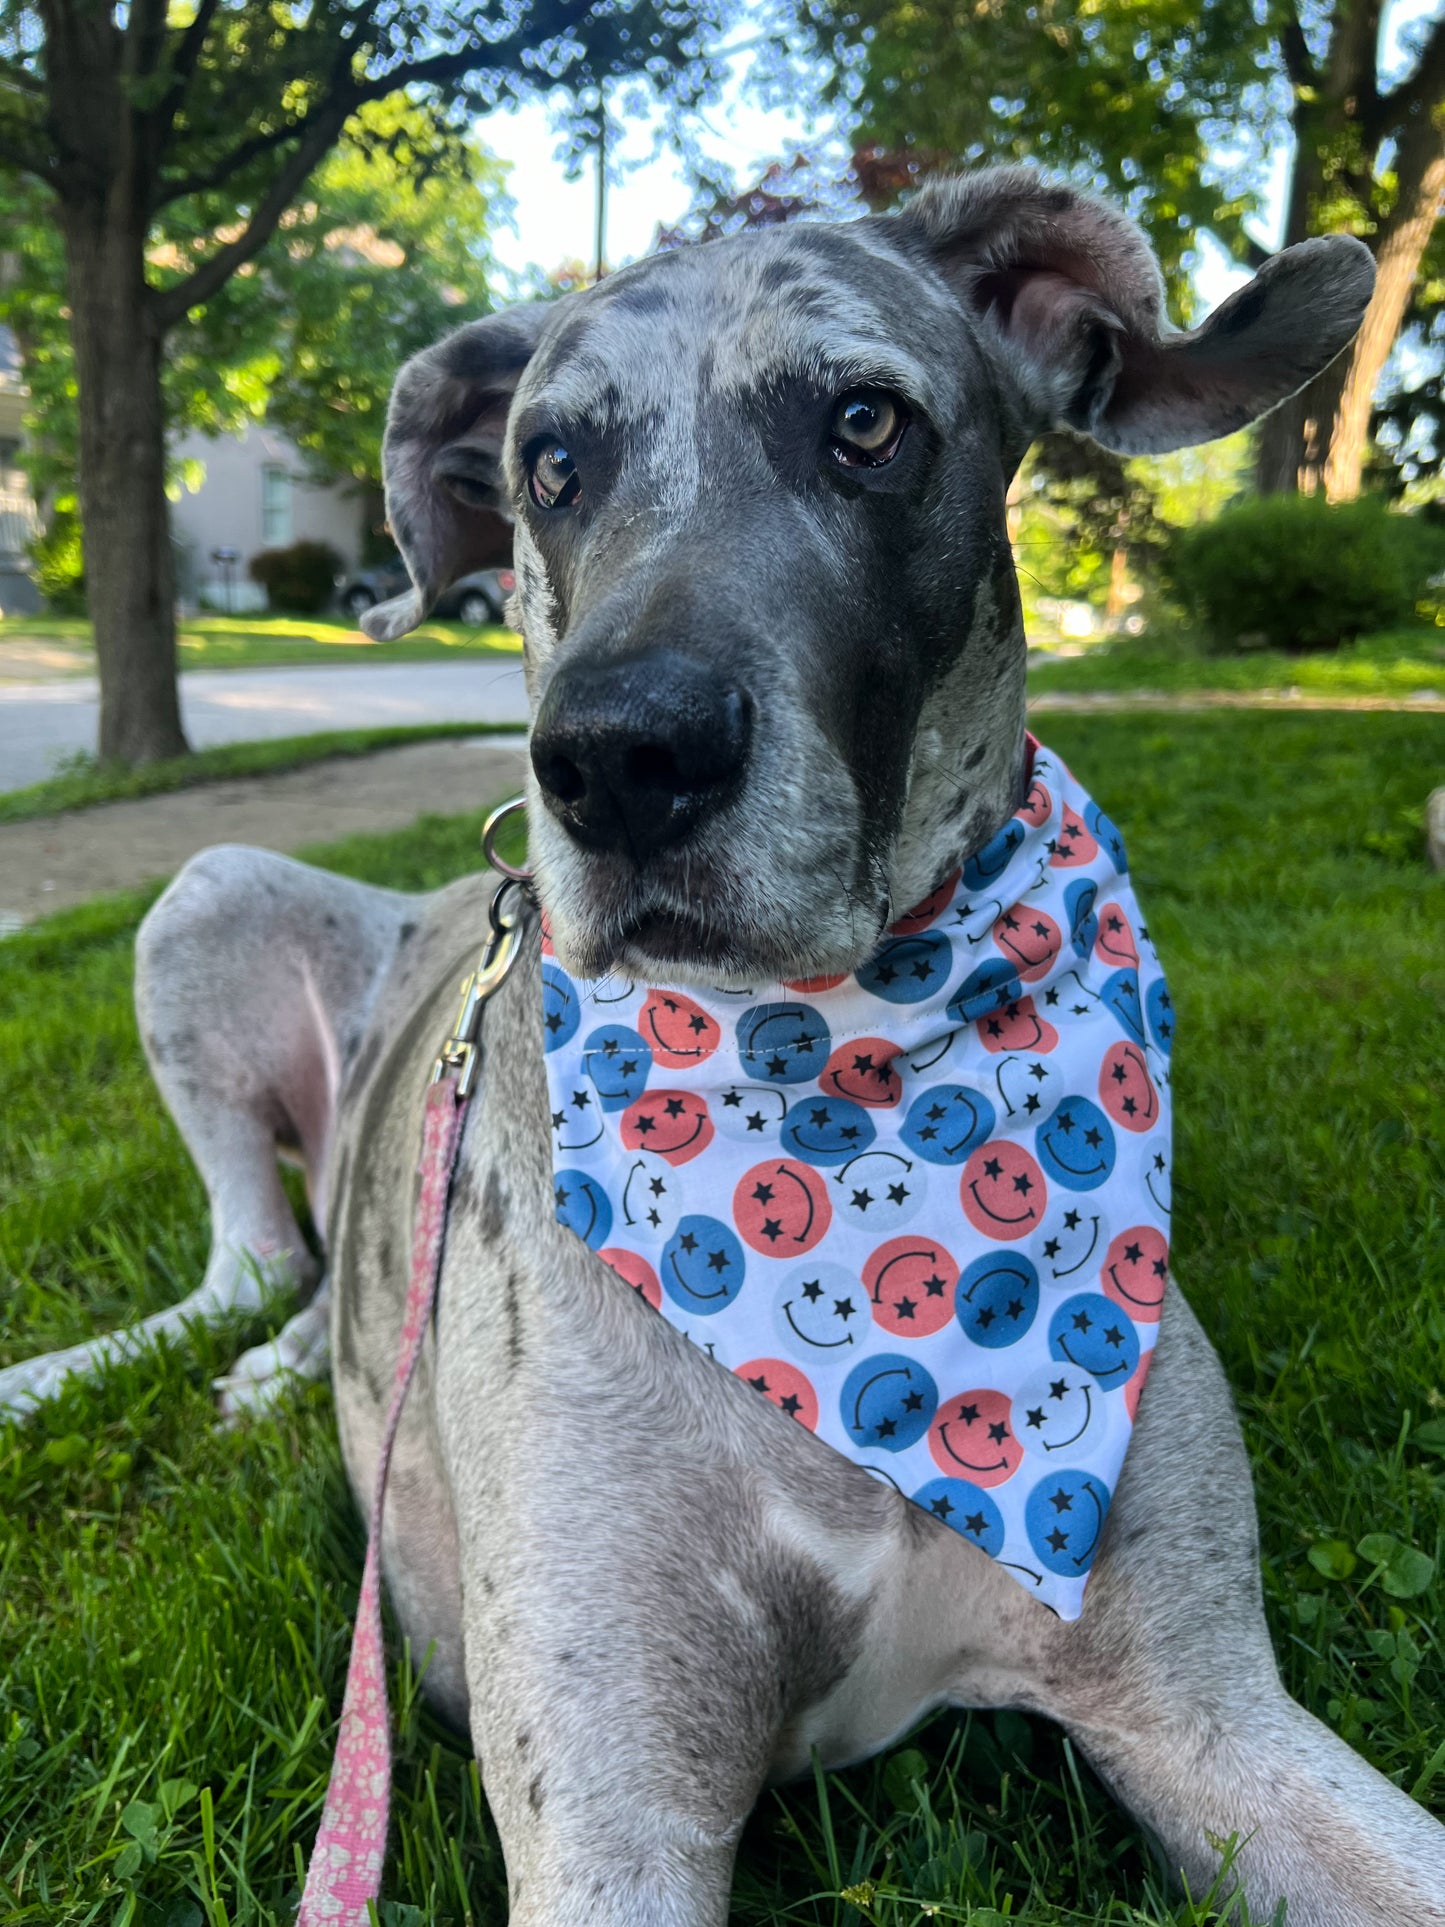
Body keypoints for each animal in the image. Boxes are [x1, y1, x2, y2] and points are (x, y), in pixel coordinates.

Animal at [2, 173, 1445, 1919]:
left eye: (866, 421)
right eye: (551, 466)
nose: (617, 761)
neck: (827, 1077)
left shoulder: (1214, 1714)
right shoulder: (613, 1814)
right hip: (202, 897)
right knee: (251, 1259)